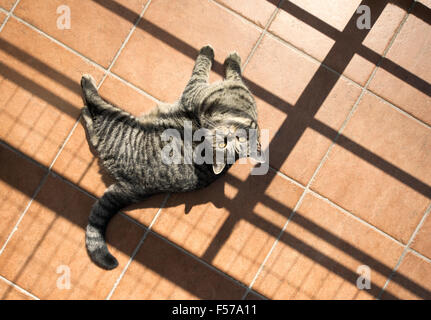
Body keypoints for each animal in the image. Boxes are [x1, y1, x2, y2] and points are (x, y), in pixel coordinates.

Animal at [81, 45, 264, 270]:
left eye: (229, 143)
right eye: (223, 144)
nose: (226, 136)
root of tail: (134, 188)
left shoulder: (196, 89)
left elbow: (208, 67)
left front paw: (219, 55)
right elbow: (218, 70)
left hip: (119, 120)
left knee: (97, 108)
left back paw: (87, 87)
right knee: (94, 128)